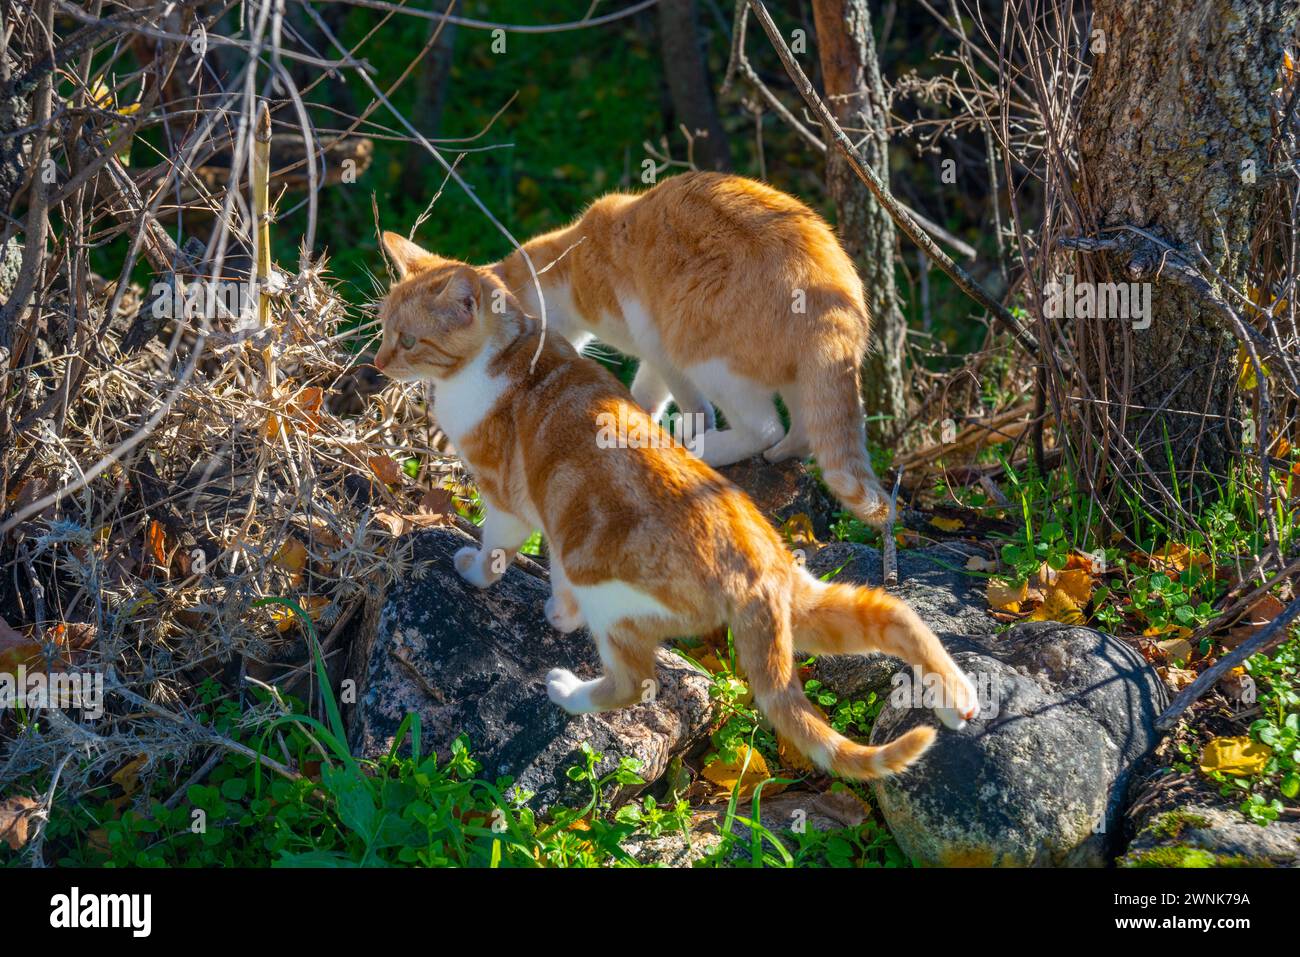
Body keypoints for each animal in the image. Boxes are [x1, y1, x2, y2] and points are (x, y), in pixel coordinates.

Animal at [374, 235, 977, 780]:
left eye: (408, 340)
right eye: (382, 330)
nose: (377, 364)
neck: (501, 359)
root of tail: (758, 569)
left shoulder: (508, 501)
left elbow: (495, 548)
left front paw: (476, 572)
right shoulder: (557, 518)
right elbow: (557, 576)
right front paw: (559, 610)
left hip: (610, 591)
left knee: (636, 683)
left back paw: (569, 692)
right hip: (805, 608)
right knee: (897, 615)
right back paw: (959, 700)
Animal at [416, 175, 894, 527]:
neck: (574, 264)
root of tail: (832, 307)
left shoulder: (658, 343)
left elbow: (681, 399)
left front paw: (675, 426)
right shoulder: (653, 353)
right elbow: (648, 391)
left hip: (704, 354)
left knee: (764, 428)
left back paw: (706, 448)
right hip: (800, 377)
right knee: (805, 431)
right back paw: (781, 454)